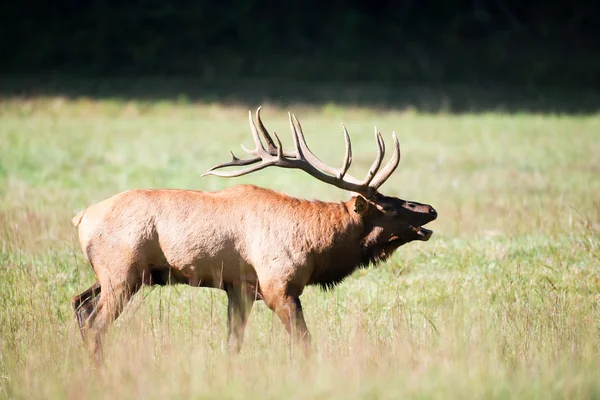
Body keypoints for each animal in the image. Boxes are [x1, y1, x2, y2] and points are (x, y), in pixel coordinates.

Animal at [71, 106, 436, 360]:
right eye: (389, 207)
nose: (430, 209)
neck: (316, 247)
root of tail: (81, 216)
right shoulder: (278, 285)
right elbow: (304, 342)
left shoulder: (239, 288)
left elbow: (233, 344)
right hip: (122, 272)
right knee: (96, 323)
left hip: (117, 275)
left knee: (79, 303)